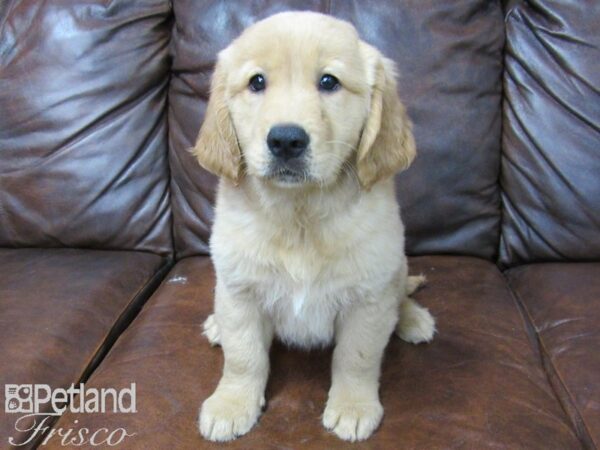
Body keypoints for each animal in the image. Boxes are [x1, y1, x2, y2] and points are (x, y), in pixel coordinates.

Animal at [195, 11, 434, 442]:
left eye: (329, 82)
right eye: (257, 82)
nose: (286, 140)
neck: (299, 215)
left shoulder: (368, 296)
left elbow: (356, 358)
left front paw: (353, 407)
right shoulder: (238, 291)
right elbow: (243, 356)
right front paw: (231, 404)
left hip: (396, 265)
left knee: (400, 293)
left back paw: (413, 318)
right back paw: (216, 326)